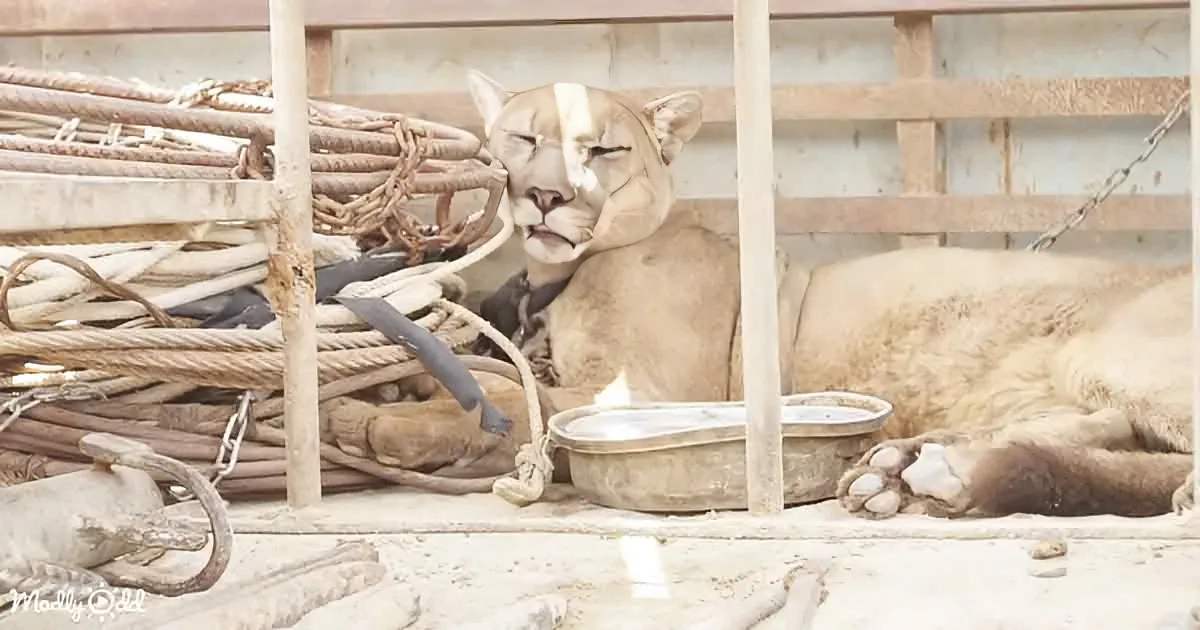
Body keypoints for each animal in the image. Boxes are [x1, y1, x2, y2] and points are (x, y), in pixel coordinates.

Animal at [354, 69, 1195, 520]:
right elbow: (501, 380)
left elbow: (505, 408)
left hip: (1108, 354)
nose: (546, 196)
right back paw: (910, 468)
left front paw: (374, 421)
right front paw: (392, 389)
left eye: (603, 149)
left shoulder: (636, 391)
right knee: (1111, 429)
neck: (558, 281)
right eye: (525, 139)